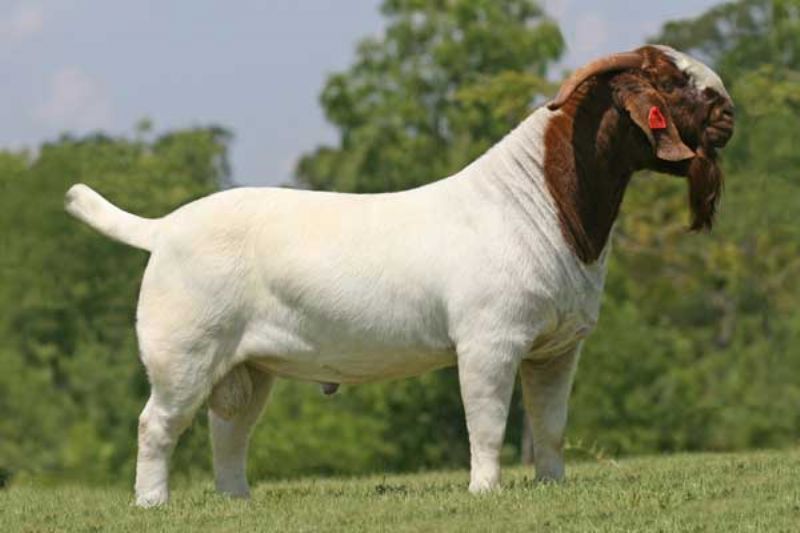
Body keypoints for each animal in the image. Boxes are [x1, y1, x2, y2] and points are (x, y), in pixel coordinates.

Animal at [65, 45, 734, 507]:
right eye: (672, 80)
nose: (728, 111)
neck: (539, 201)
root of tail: (163, 227)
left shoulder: (557, 348)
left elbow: (550, 426)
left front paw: (551, 485)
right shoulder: (489, 341)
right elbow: (487, 422)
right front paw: (485, 491)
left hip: (245, 366)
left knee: (228, 428)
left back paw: (238, 500)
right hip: (183, 351)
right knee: (157, 424)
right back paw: (152, 503)